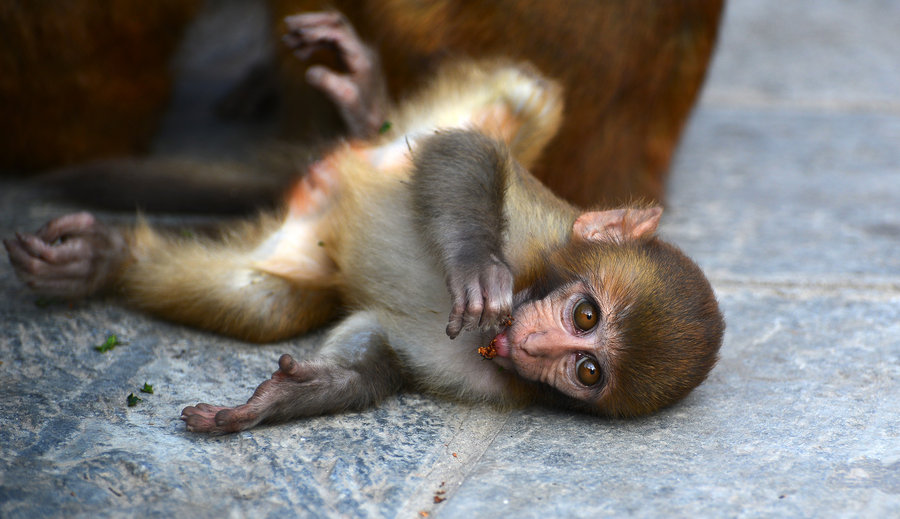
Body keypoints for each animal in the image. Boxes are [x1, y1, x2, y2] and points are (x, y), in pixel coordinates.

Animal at [5, 13, 724, 434]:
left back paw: (107, 258)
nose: (537, 345)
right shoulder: (543, 228)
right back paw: (368, 103)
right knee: (516, 98)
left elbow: (378, 348)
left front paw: (281, 398)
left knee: (263, 301)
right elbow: (462, 155)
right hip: (407, 145)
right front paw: (475, 263)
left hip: (302, 247)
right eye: (585, 314)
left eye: (587, 371)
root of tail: (337, 169)